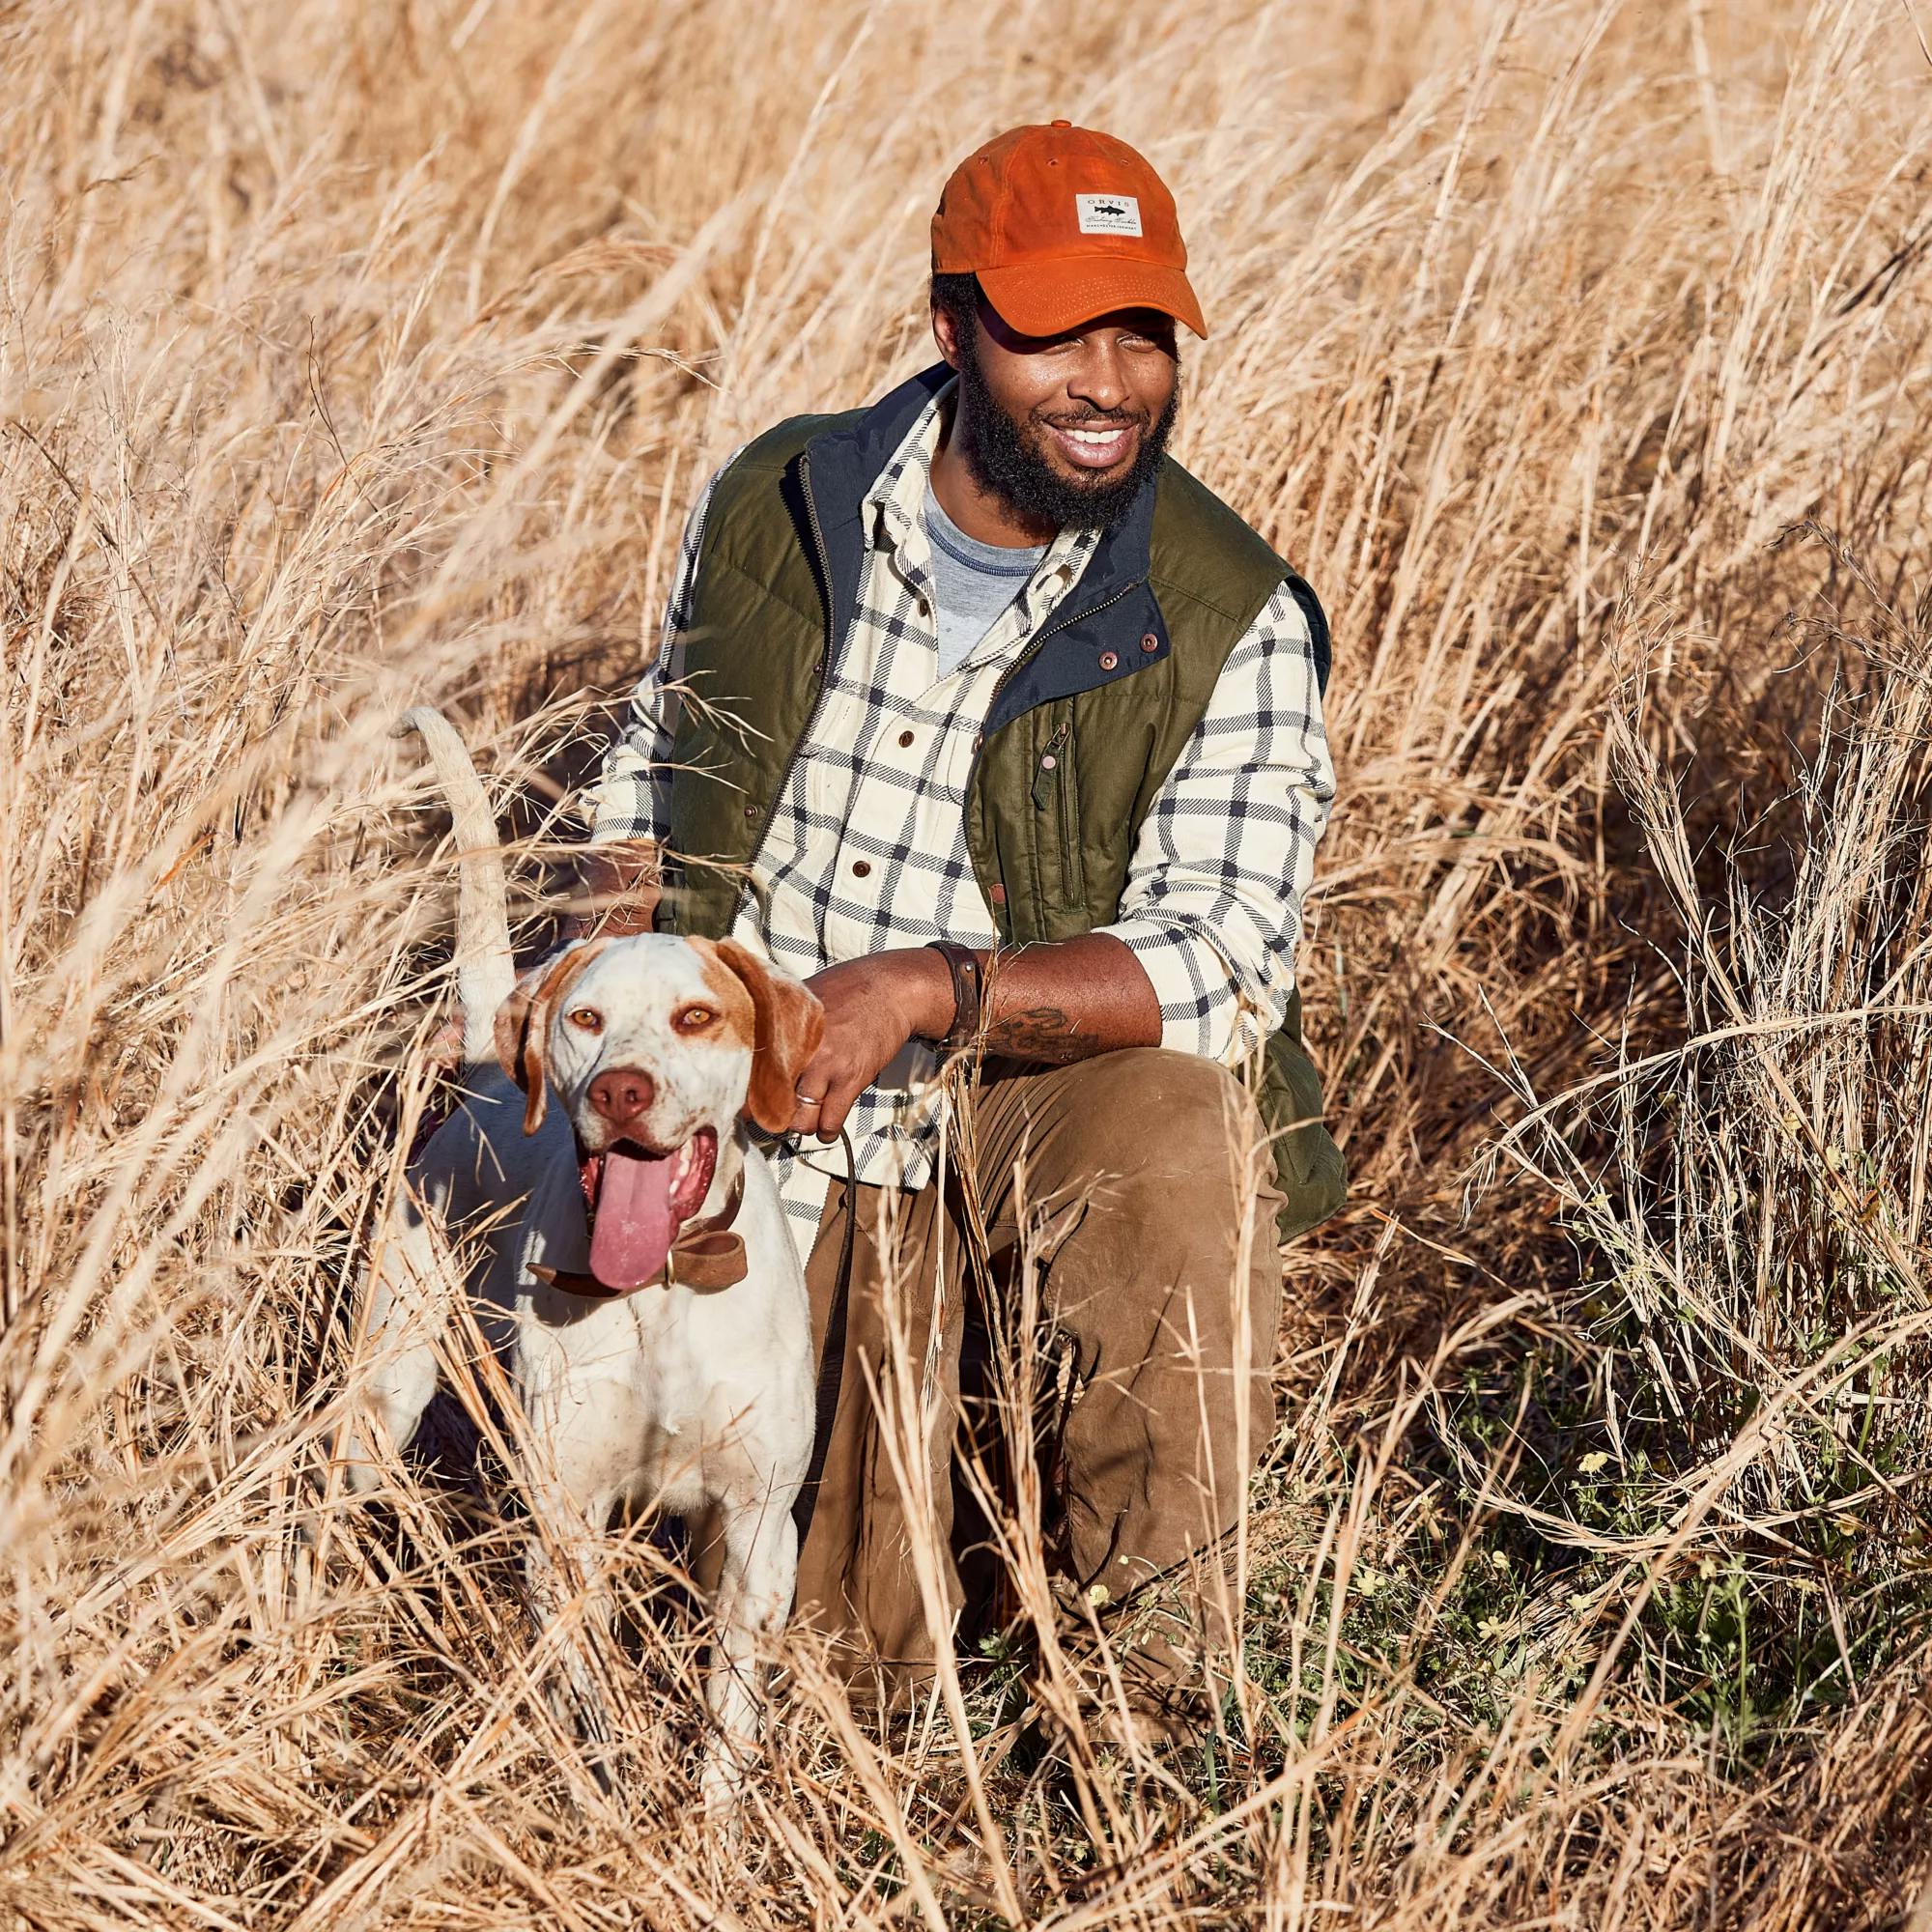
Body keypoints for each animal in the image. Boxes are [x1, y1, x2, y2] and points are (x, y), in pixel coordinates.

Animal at [346, 711, 823, 1808]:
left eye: (697, 1016)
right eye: (587, 1019)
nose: (620, 1091)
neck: (665, 1294)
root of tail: (491, 1060)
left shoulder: (753, 1529)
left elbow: (726, 1724)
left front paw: (711, 1831)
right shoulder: (568, 1515)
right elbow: (589, 1682)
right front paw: (609, 1794)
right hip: (384, 1393)